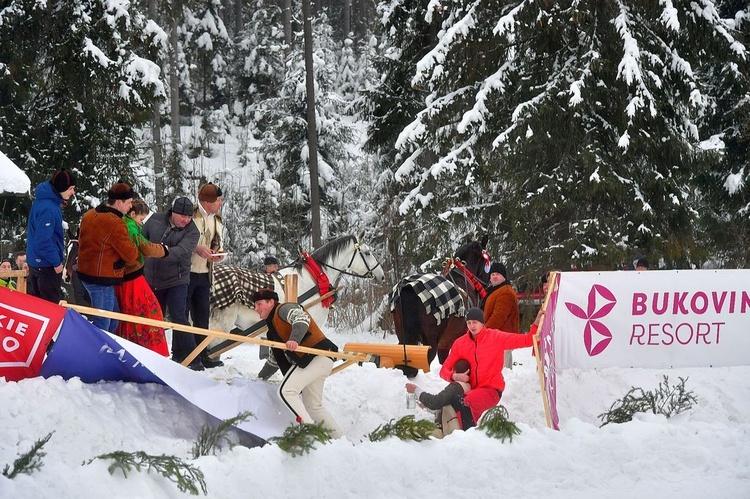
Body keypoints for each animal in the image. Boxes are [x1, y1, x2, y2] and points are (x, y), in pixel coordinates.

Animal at [394, 237, 494, 376]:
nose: (489, 284)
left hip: (402, 336)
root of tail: (409, 288)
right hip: (430, 342)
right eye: (487, 259)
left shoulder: (444, 344)